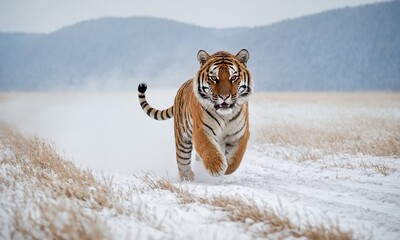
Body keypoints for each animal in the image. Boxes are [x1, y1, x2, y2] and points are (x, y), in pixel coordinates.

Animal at [137, 49, 250, 180]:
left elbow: (236, 157)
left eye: (234, 77)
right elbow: (207, 147)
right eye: (213, 78)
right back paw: (188, 178)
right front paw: (217, 167)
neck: (225, 115)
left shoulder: (240, 134)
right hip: (182, 141)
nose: (224, 97)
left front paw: (227, 168)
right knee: (183, 164)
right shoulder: (201, 130)